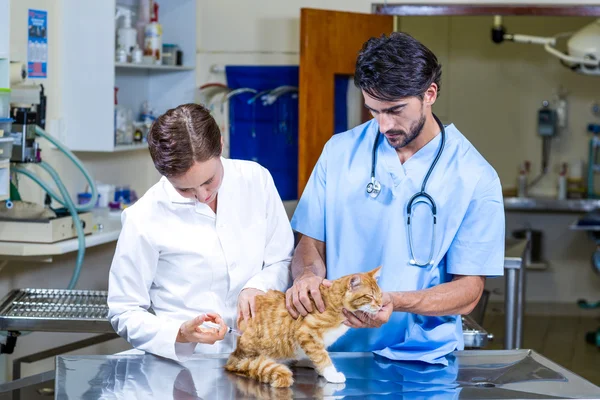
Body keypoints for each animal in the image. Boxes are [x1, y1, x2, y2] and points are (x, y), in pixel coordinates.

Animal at [225, 266, 384, 388]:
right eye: (370, 296)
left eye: (380, 295)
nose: (381, 305)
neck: (336, 305)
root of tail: (234, 355)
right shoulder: (307, 333)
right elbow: (321, 356)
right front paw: (331, 373)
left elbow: (319, 353)